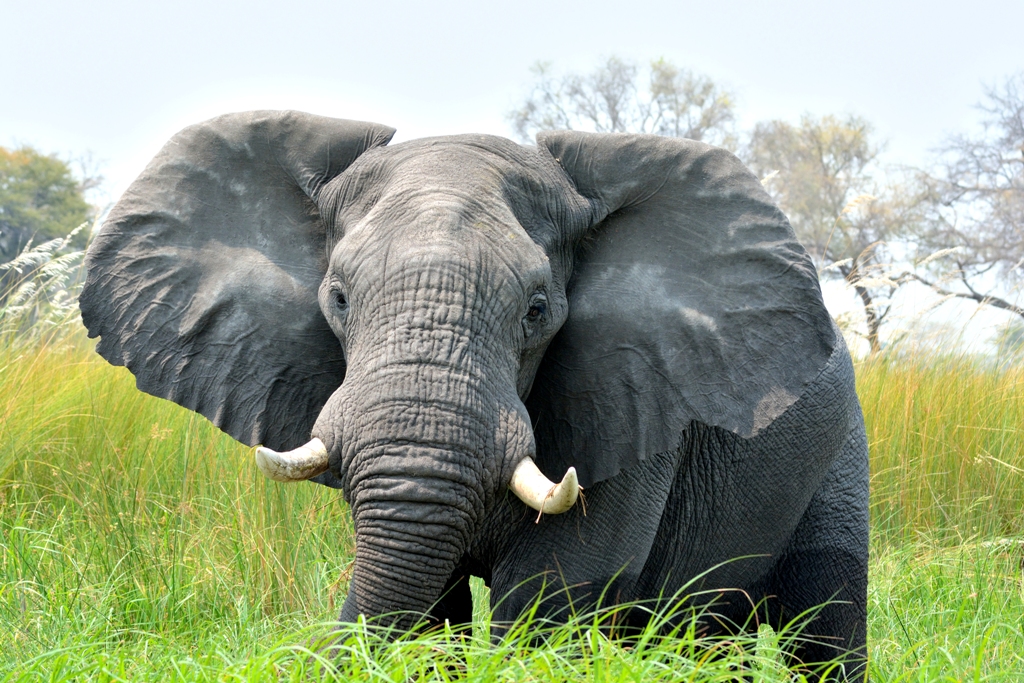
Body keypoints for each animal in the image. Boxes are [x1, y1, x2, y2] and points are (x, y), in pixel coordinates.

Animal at [77, 111, 864, 679]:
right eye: (337, 298)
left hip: (841, 447)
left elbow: (553, 591)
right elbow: (431, 607)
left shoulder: (635, 398)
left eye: (538, 310)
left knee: (826, 621)